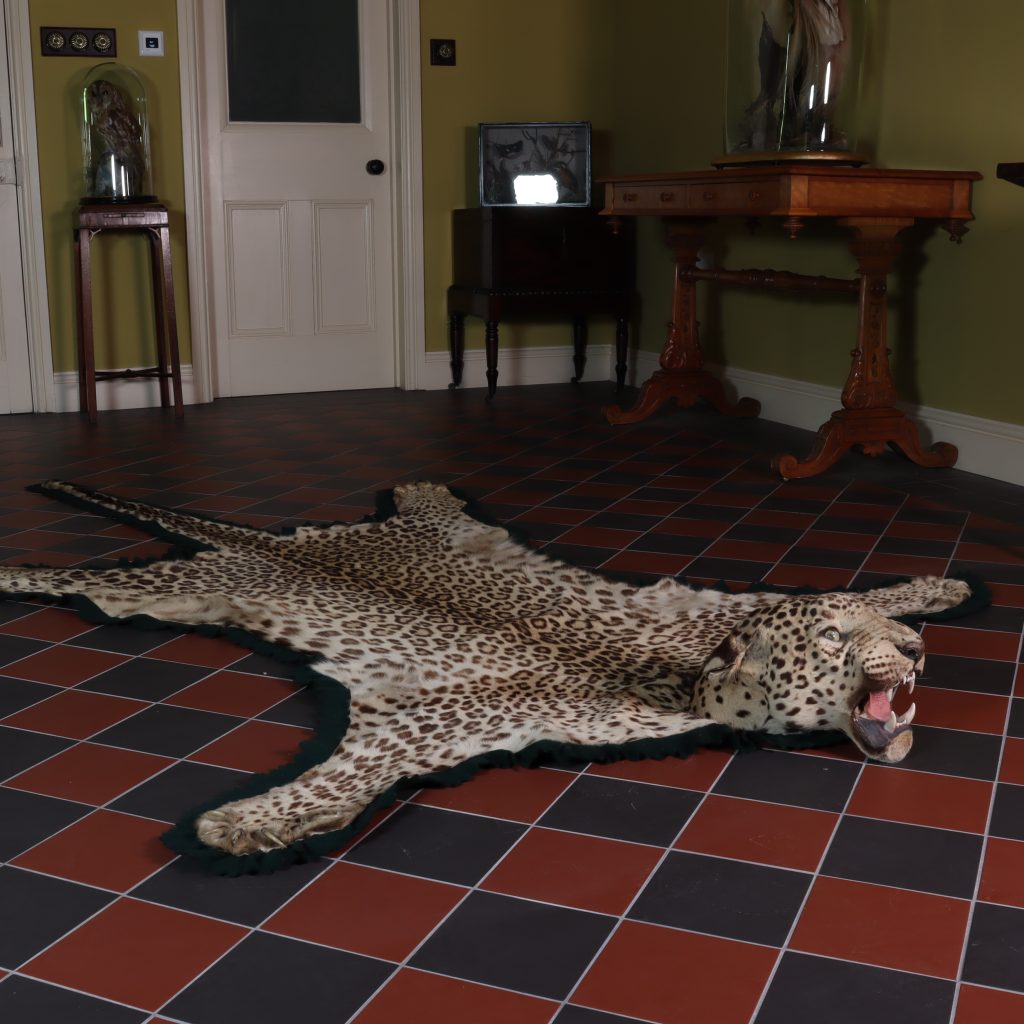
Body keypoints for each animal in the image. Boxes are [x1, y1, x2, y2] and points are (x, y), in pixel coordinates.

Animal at [0, 480, 973, 864]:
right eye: (836, 639)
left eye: (871, 629)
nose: (915, 652)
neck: (681, 674)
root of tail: (262, 543)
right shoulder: (421, 723)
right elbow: (350, 772)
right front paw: (243, 824)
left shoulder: (702, 608)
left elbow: (875, 579)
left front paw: (939, 586)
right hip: (163, 592)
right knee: (73, 581)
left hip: (404, 529)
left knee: (426, 501)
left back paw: (423, 486)